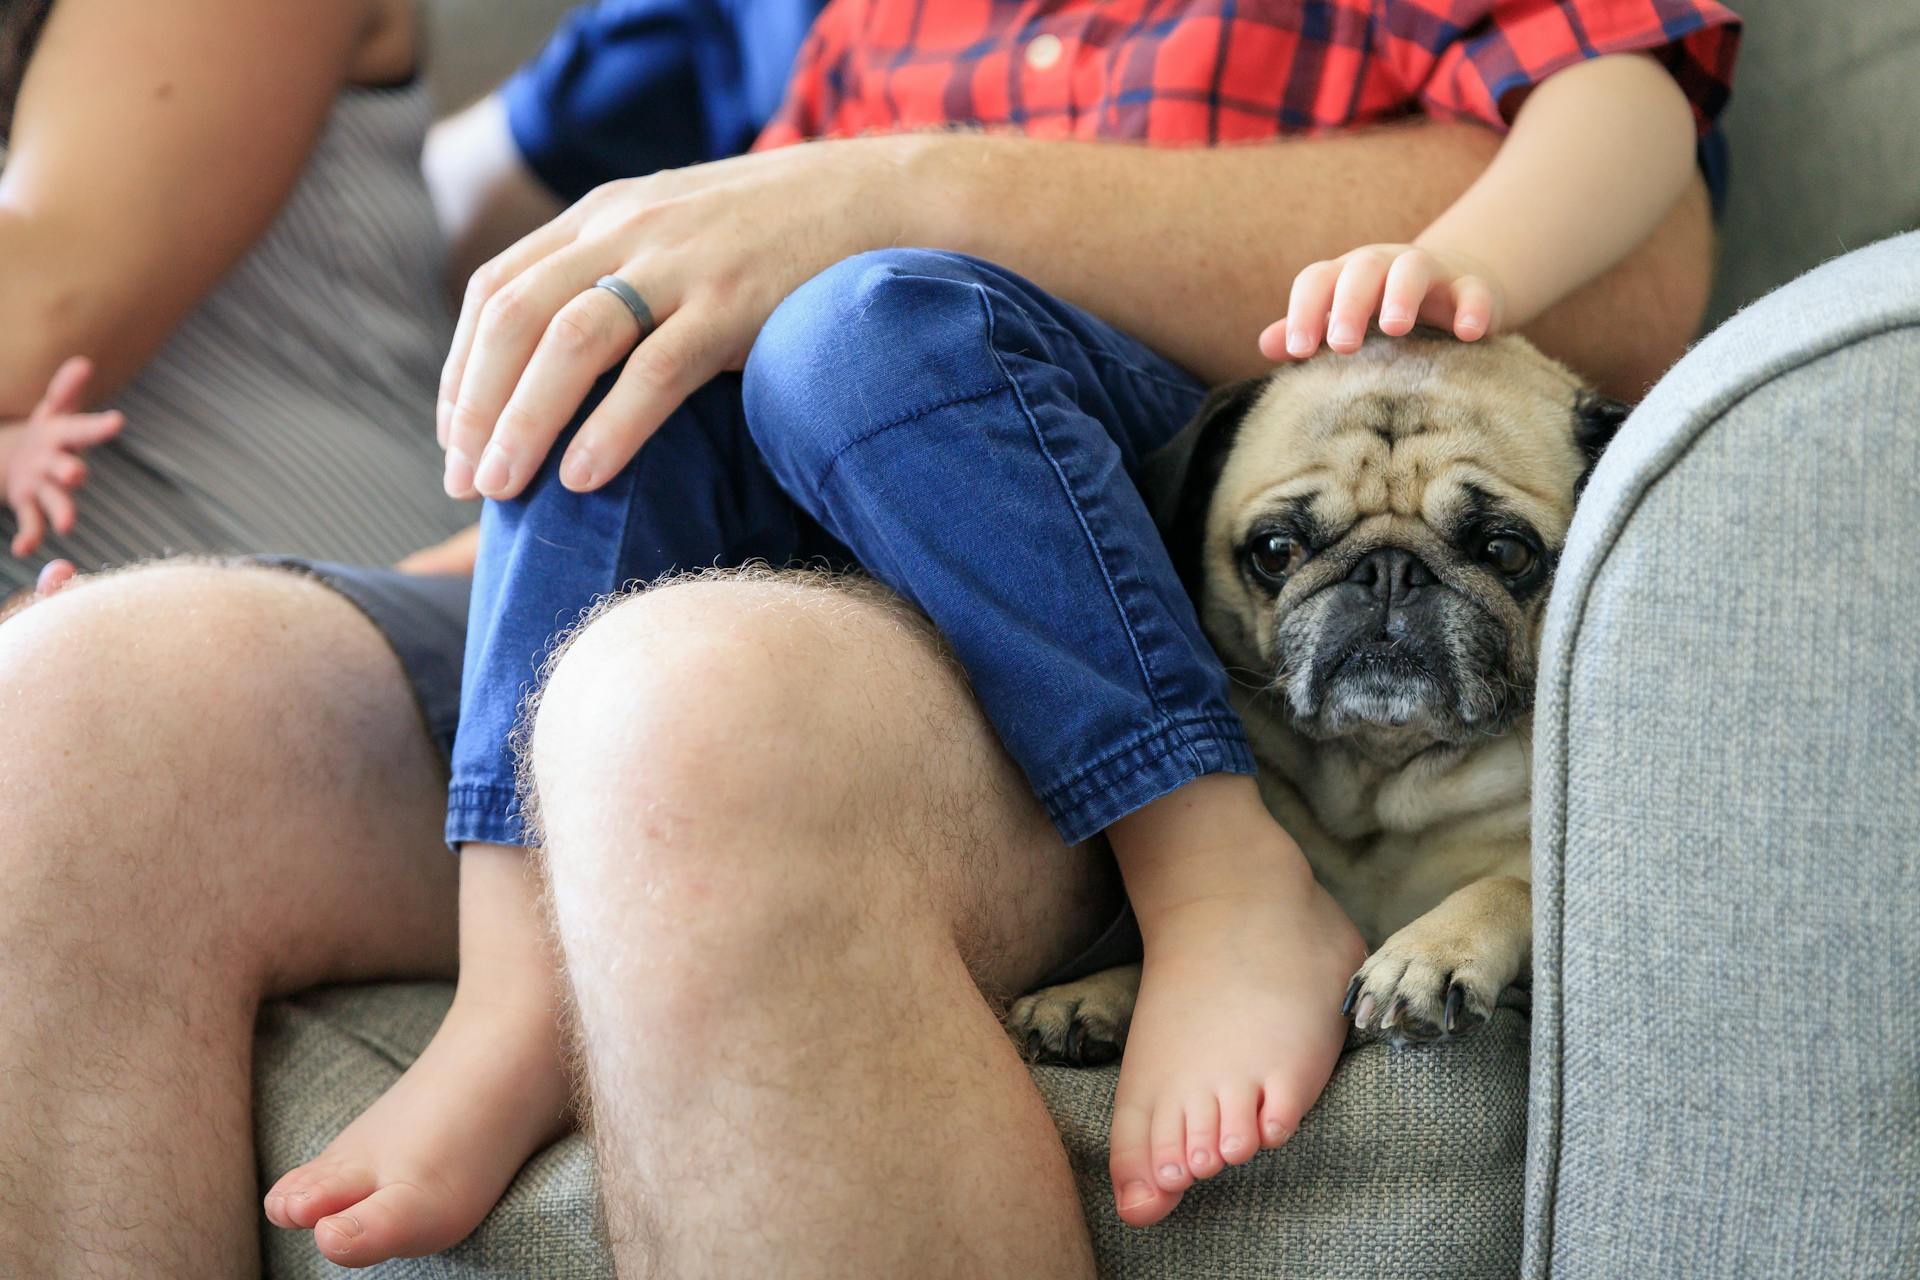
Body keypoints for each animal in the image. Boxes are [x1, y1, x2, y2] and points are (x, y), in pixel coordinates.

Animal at [1013, 328, 1628, 1051]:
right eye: (1275, 551)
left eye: (1506, 552)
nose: (1389, 569)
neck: (1384, 786)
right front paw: (1098, 991)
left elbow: (1507, 887)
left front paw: (1430, 952)